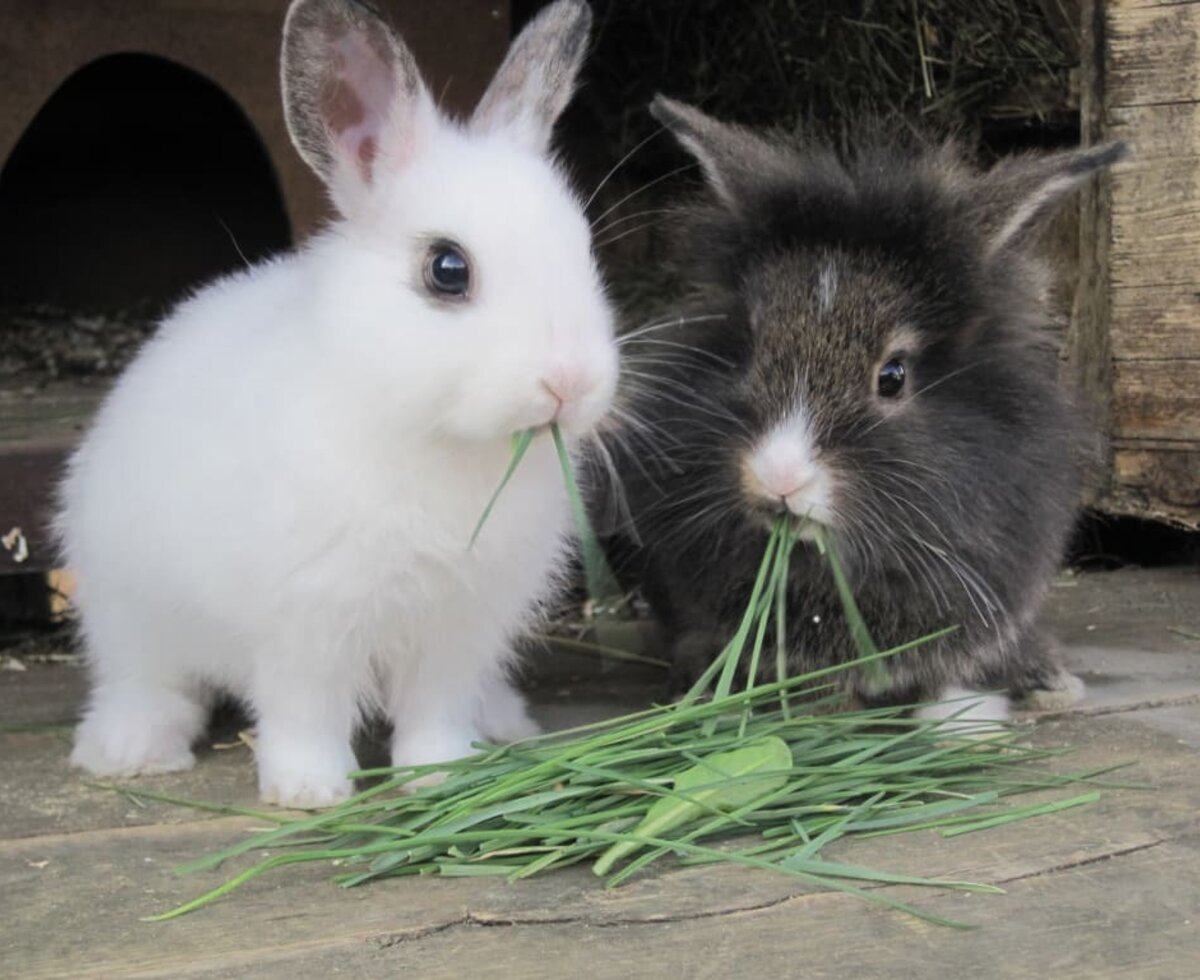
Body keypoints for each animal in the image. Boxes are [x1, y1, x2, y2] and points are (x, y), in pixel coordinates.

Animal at [59, 0, 614, 806]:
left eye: (584, 251)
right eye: (448, 269)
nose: (571, 383)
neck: (434, 436)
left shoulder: (459, 624)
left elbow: (434, 709)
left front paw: (438, 776)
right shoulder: (306, 624)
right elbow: (305, 712)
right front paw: (307, 791)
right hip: (128, 604)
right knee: (151, 681)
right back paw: (130, 750)